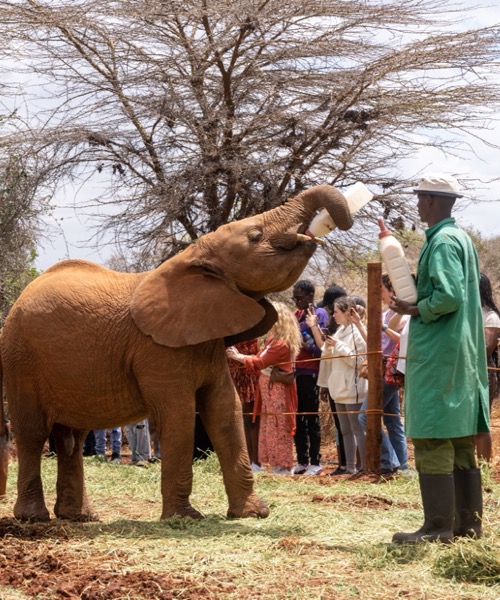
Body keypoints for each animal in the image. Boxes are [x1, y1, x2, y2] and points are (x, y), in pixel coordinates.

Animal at [0, 183, 352, 520]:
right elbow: (180, 414)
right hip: (20, 359)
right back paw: (35, 518)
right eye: (255, 236)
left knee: (71, 438)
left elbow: (226, 410)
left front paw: (254, 513)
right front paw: (186, 517)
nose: (325, 227)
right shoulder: (157, 349)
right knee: (32, 434)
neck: (192, 257)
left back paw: (80, 516)